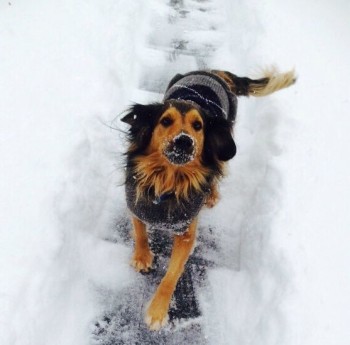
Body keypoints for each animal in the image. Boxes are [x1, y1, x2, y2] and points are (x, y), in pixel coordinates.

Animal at [120, 68, 296, 330]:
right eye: (165, 121)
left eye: (198, 125)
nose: (184, 141)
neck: (169, 181)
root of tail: (214, 71)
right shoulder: (136, 204)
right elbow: (140, 232)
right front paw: (142, 257)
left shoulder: (186, 230)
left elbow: (172, 274)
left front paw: (158, 311)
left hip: (225, 140)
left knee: (218, 167)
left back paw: (211, 194)